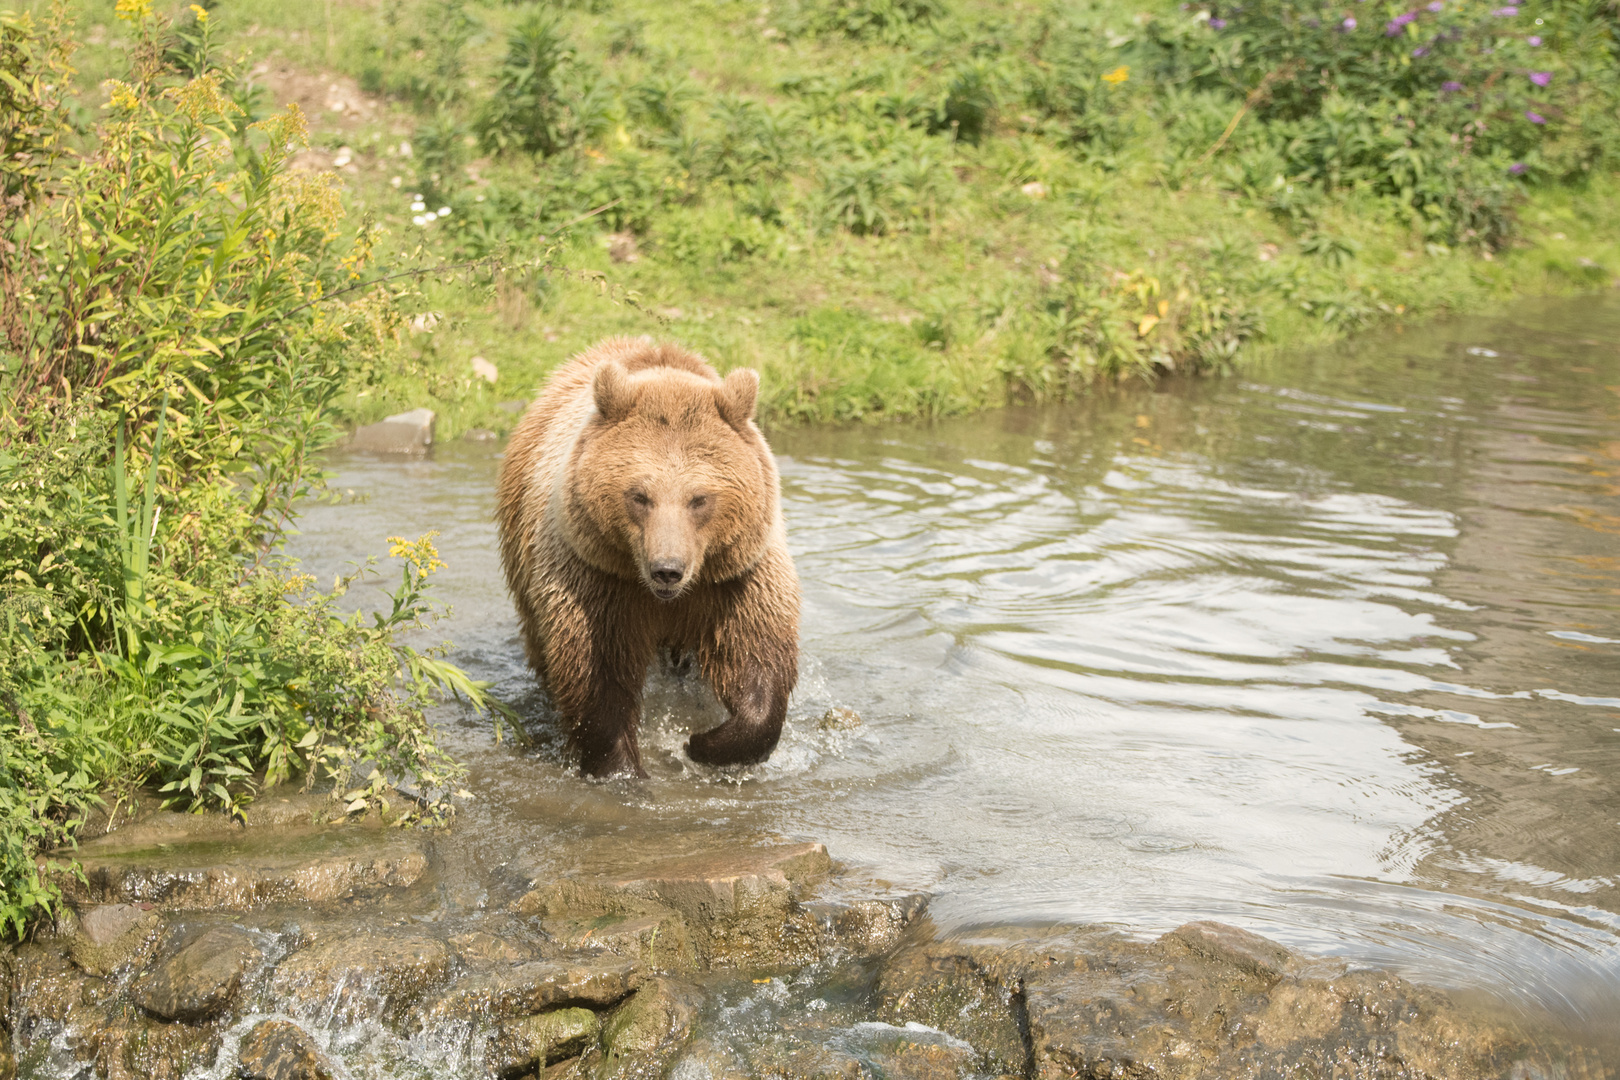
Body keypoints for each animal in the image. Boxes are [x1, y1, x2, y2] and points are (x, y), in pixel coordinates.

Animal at [492, 338, 797, 777]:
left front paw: (703, 743)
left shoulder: (736, 577)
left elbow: (756, 653)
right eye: (639, 495)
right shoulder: (596, 578)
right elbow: (596, 672)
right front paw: (621, 767)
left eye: (699, 498)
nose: (667, 570)